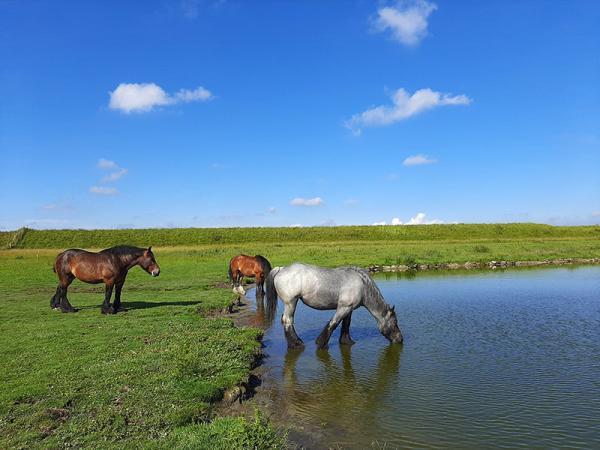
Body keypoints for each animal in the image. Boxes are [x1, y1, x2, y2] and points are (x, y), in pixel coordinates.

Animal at [268, 262, 404, 350]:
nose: (400, 339)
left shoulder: (349, 309)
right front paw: (321, 344)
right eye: (395, 323)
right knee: (288, 320)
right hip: (291, 302)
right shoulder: (343, 307)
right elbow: (333, 323)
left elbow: (346, 324)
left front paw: (347, 341)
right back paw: (296, 344)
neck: (362, 286)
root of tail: (281, 269)